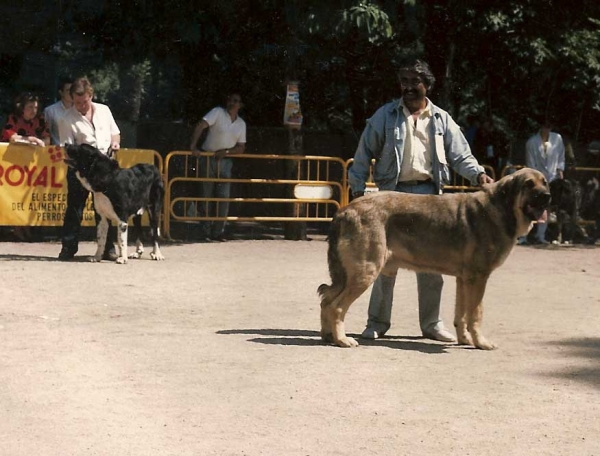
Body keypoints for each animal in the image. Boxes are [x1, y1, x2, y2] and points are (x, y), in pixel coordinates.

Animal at [322, 167, 552, 350]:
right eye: (528, 185)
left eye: (545, 182)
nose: (547, 196)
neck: (502, 208)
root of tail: (345, 210)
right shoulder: (478, 277)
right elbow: (476, 314)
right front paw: (481, 343)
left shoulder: (464, 279)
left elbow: (461, 315)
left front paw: (465, 340)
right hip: (365, 271)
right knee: (337, 306)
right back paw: (342, 340)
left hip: (348, 276)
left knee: (326, 300)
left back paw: (328, 336)